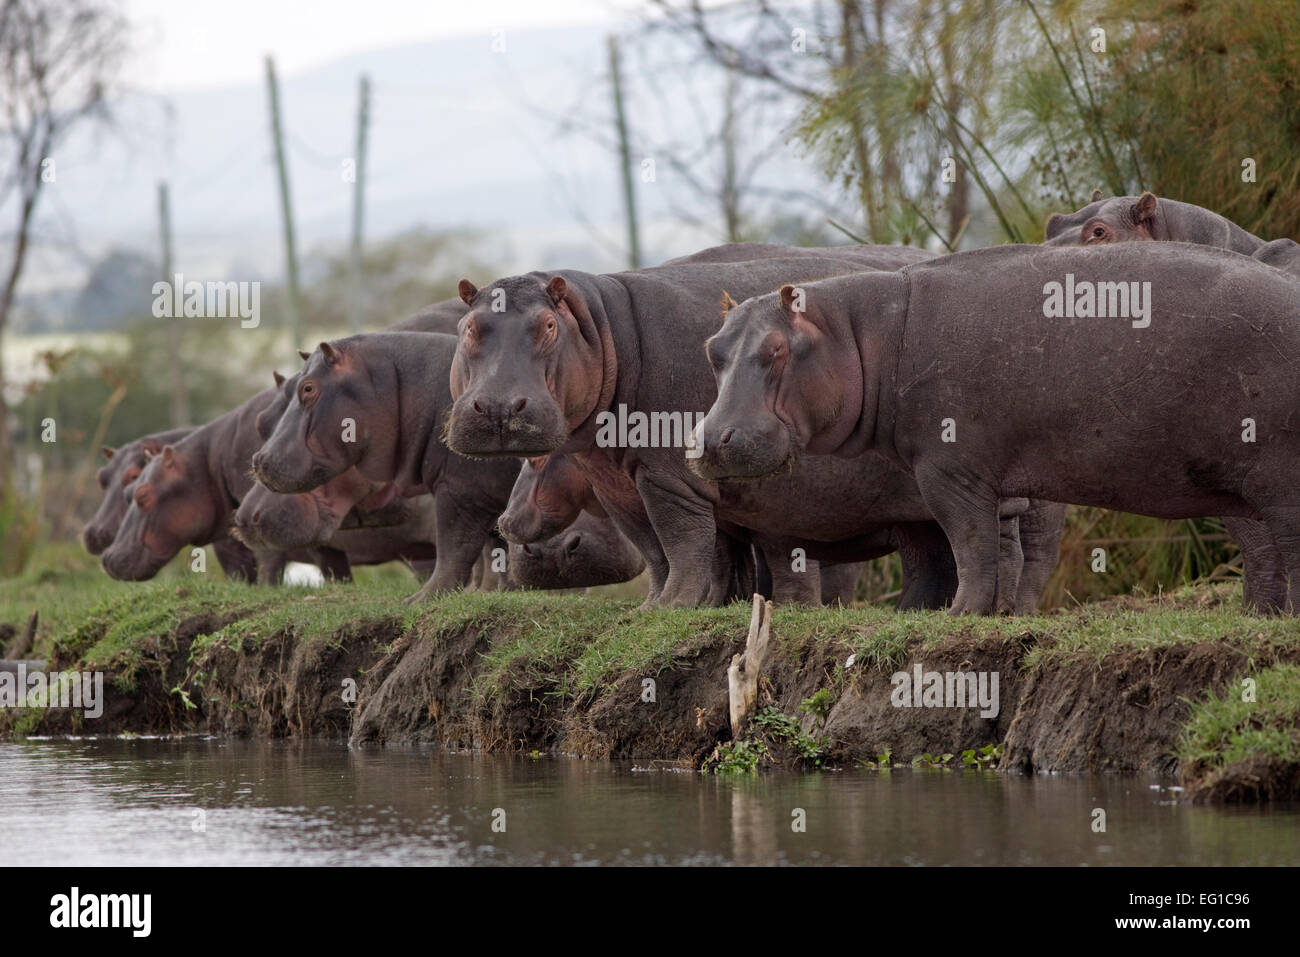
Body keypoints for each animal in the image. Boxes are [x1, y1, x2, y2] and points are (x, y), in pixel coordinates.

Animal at [250, 328, 520, 598]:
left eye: (307, 388)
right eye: (261, 421)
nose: (258, 459)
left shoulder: (459, 489)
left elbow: (454, 546)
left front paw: (420, 599)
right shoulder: (484, 495)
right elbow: (493, 549)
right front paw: (494, 592)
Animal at [696, 243, 1300, 616]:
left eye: (776, 349)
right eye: (712, 349)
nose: (708, 441)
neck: (862, 333)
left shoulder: (947, 469)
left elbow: (970, 543)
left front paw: (960, 615)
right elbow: (984, 546)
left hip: (1276, 478)